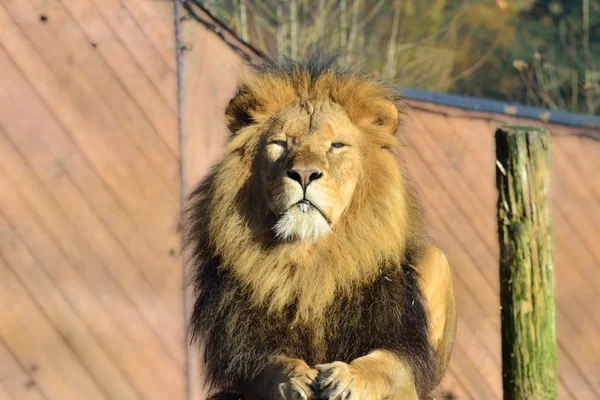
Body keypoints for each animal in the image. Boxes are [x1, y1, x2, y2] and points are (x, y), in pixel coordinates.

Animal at [185, 51, 458, 398]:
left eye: (336, 146)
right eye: (280, 143)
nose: (304, 174)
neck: (312, 257)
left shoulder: (406, 350)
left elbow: (383, 364)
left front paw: (350, 378)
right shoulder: (244, 353)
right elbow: (272, 367)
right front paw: (295, 380)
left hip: (435, 258)